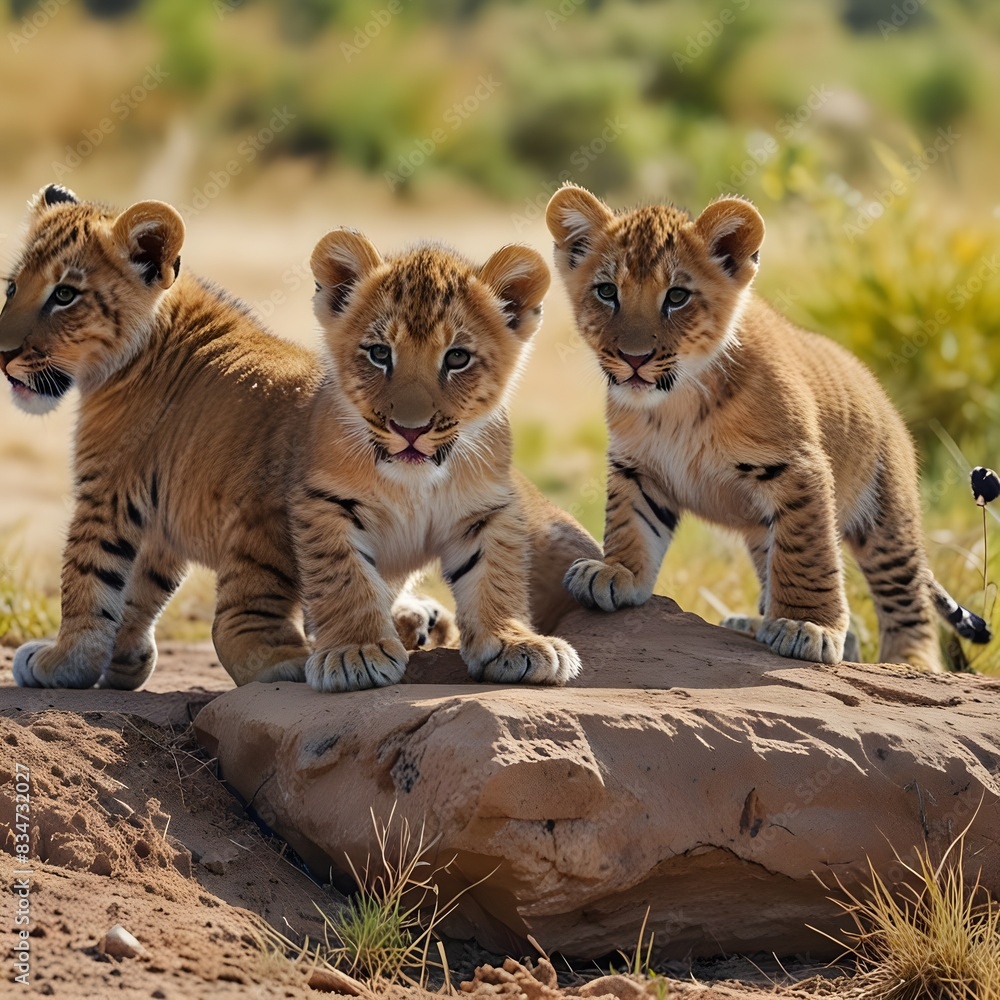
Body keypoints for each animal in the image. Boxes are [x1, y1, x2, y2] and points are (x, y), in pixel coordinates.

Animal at [0, 184, 455, 689]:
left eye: (64, 294)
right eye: (12, 287)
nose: (1, 354)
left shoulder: (107, 490)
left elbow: (86, 579)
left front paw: (64, 662)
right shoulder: (161, 507)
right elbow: (142, 585)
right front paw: (125, 660)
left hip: (259, 518)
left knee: (244, 621)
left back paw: (296, 659)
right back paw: (416, 622)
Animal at [293, 229, 601, 691]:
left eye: (457, 358)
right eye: (379, 353)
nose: (410, 429)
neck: (415, 482)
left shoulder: (486, 506)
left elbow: (495, 573)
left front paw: (515, 644)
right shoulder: (325, 500)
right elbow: (344, 576)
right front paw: (355, 652)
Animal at [544, 182, 990, 672]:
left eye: (677, 297)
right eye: (607, 292)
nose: (634, 358)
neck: (675, 401)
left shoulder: (797, 468)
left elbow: (806, 555)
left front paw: (805, 625)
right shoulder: (637, 468)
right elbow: (631, 525)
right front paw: (617, 572)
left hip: (885, 513)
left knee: (906, 595)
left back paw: (909, 661)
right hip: (761, 529)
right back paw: (751, 623)